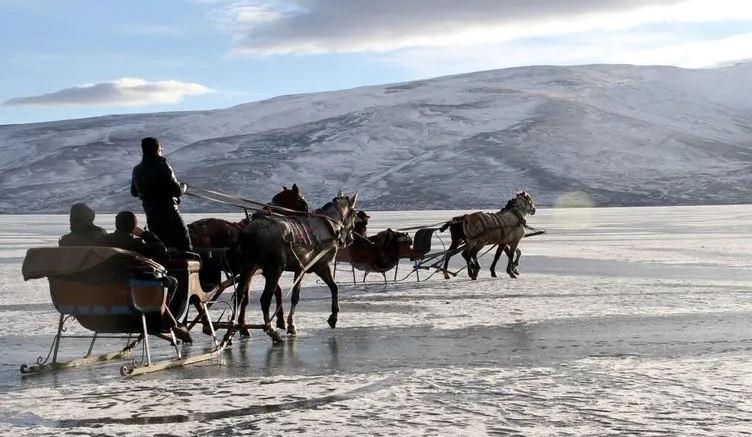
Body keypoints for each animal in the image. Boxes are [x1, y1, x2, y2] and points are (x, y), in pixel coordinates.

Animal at [187, 183, 308, 330]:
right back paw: (205, 324)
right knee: (197, 298)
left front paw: (243, 324)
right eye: (303, 203)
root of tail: (191, 230)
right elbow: (268, 292)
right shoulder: (261, 269)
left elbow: (251, 295)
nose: (307, 217)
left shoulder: (254, 270)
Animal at [226, 192, 358, 342]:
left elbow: (298, 295)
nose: (351, 239)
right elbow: (333, 287)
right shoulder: (320, 265)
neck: (328, 226)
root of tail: (250, 233)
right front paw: (333, 317)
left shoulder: (300, 269)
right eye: (355, 213)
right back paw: (271, 330)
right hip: (274, 270)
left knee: (240, 294)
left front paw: (291, 325)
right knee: (265, 299)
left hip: (249, 267)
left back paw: (232, 329)